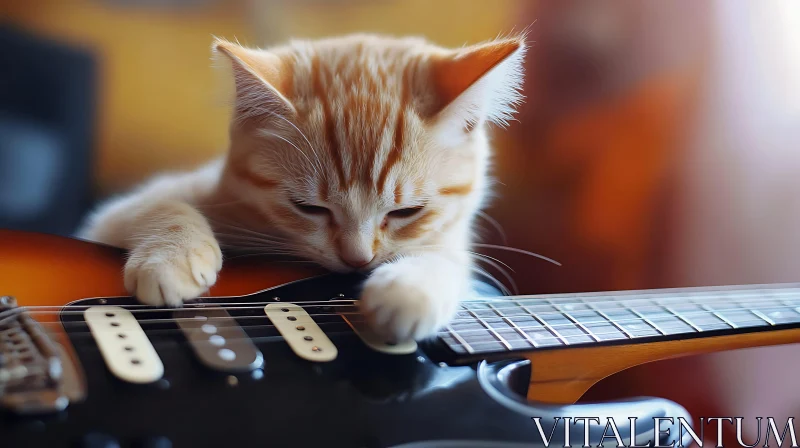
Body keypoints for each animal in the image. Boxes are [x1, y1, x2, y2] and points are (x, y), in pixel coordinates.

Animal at [75, 33, 524, 342]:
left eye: (406, 212)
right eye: (309, 208)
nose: (357, 260)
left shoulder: (452, 241)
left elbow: (445, 262)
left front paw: (408, 291)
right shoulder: (114, 215)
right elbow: (162, 206)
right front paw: (170, 259)